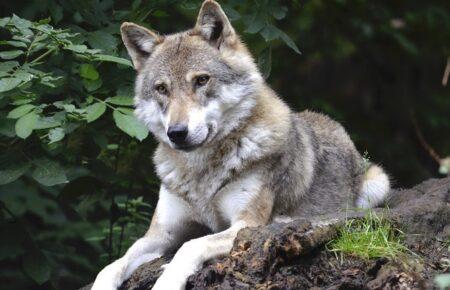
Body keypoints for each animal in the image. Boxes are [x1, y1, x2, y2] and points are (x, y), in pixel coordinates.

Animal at [89, 1, 388, 288]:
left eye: (201, 80)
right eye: (162, 89)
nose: (177, 133)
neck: (201, 173)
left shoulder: (244, 224)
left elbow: (190, 246)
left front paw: (167, 280)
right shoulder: (160, 234)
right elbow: (112, 265)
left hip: (377, 184)